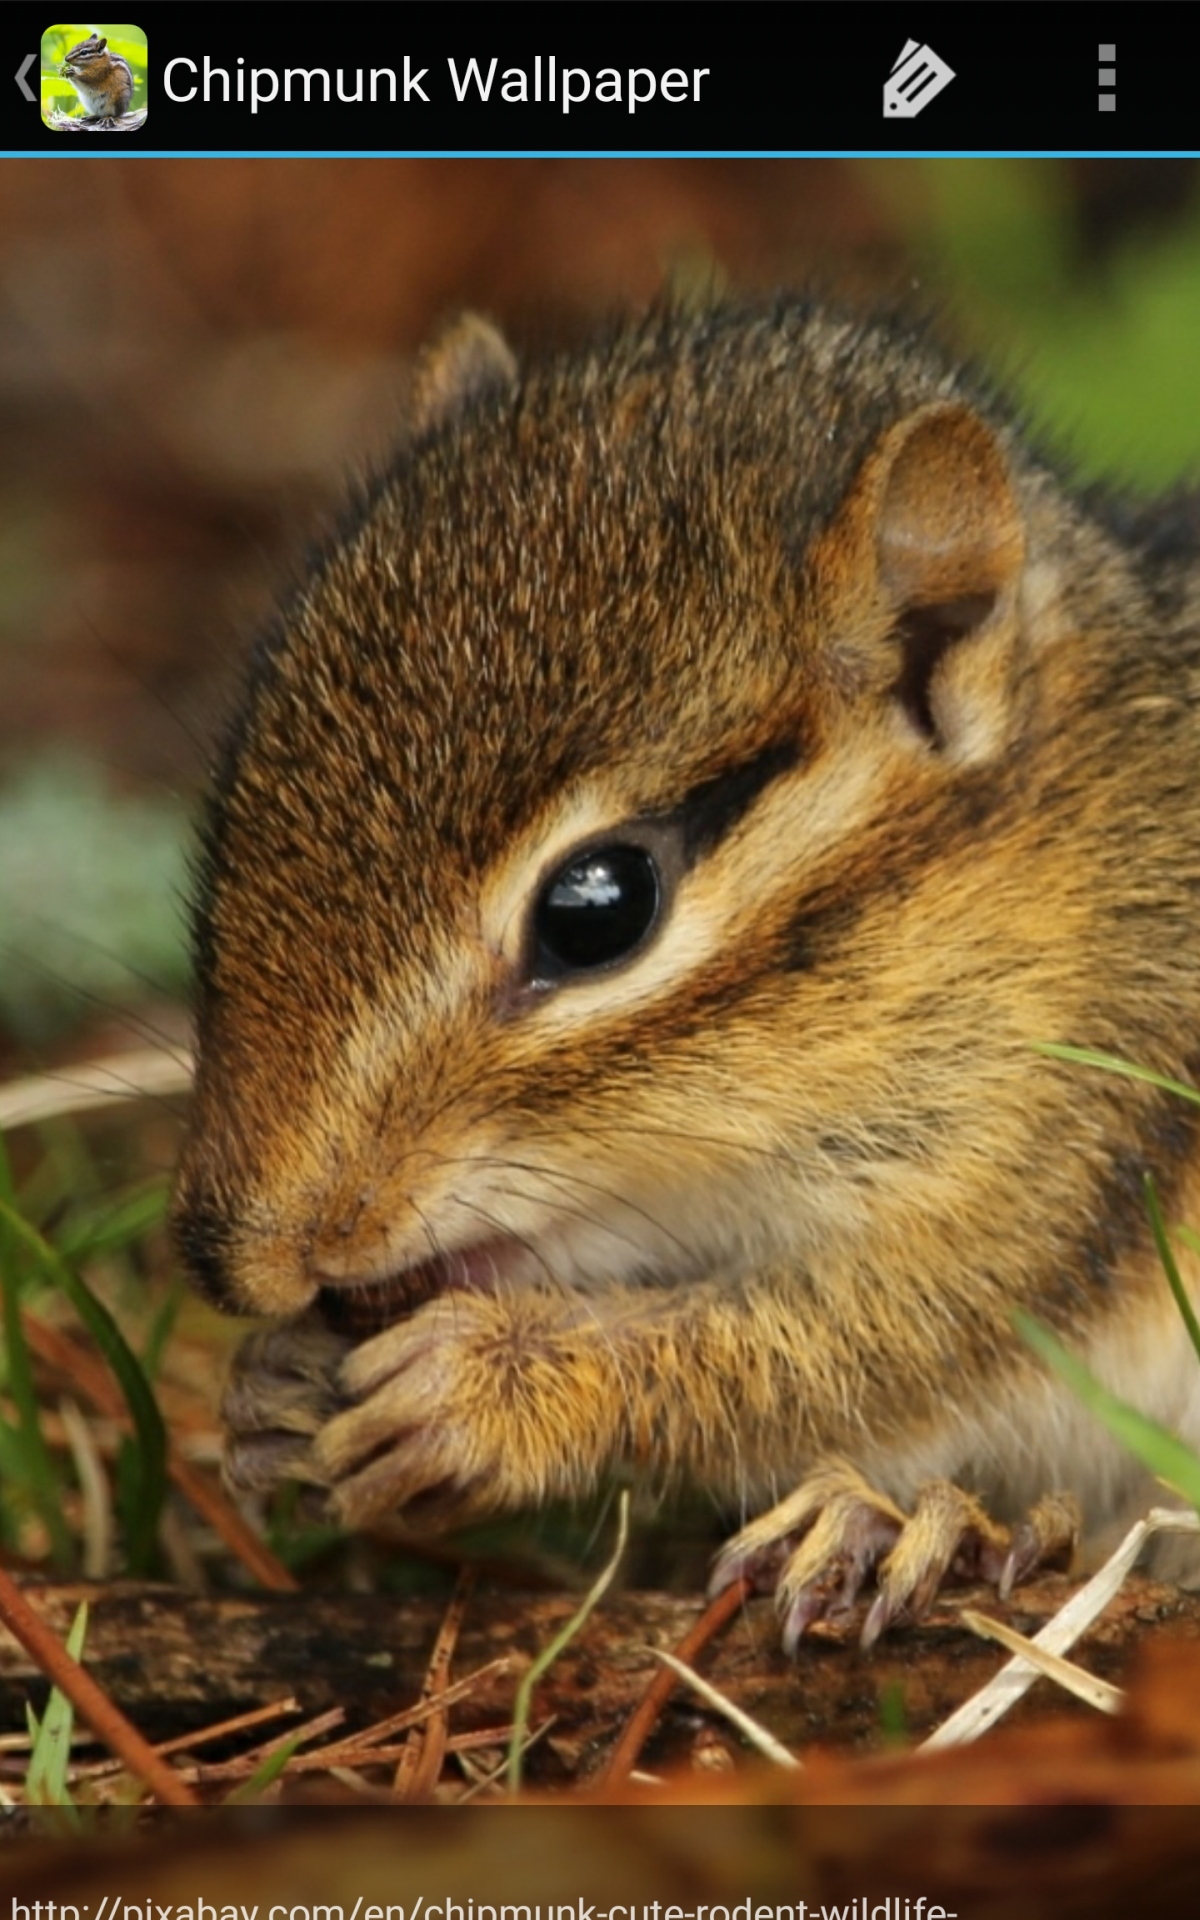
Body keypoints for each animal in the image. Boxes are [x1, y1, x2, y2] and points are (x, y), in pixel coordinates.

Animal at [172, 298, 1200, 1646]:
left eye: (597, 911)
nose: (229, 1255)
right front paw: (271, 1388)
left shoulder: (1065, 1153)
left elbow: (857, 1345)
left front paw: (496, 1385)